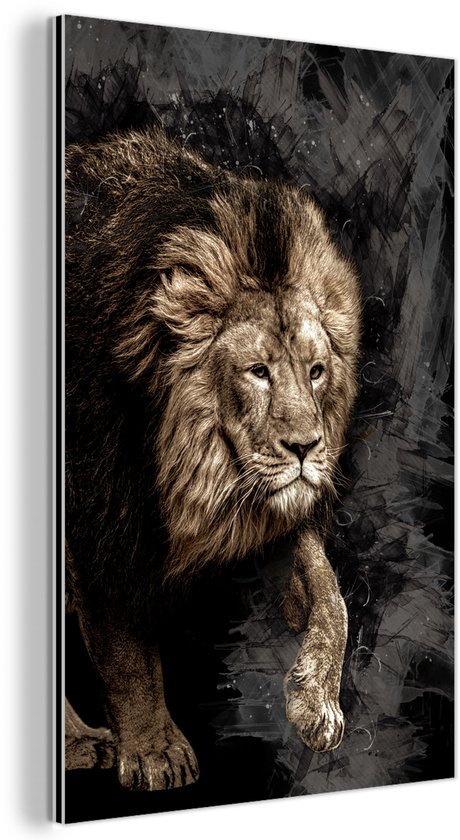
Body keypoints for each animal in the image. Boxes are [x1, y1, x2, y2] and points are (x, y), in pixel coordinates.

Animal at [65, 126, 361, 791]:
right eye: (258, 371)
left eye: (316, 370)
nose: (307, 448)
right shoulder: (101, 518)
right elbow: (124, 645)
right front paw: (155, 751)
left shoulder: (268, 509)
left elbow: (330, 593)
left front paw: (316, 701)